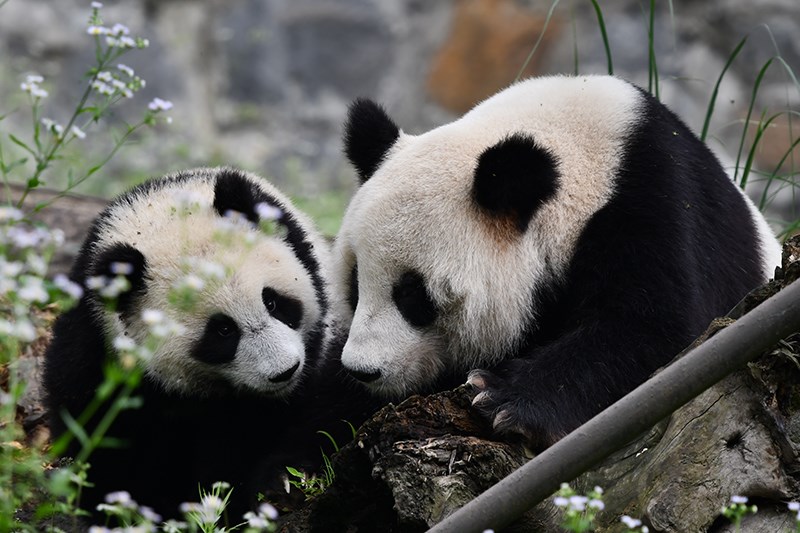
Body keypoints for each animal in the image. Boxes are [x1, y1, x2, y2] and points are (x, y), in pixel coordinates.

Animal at [42, 165, 370, 516]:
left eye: (272, 301)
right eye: (222, 330)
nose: (285, 371)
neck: (158, 214)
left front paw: (274, 484)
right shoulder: (96, 340)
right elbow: (100, 432)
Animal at [334, 75, 784, 454]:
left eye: (413, 294)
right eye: (355, 284)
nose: (362, 370)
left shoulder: (656, 198)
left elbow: (659, 327)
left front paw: (503, 398)